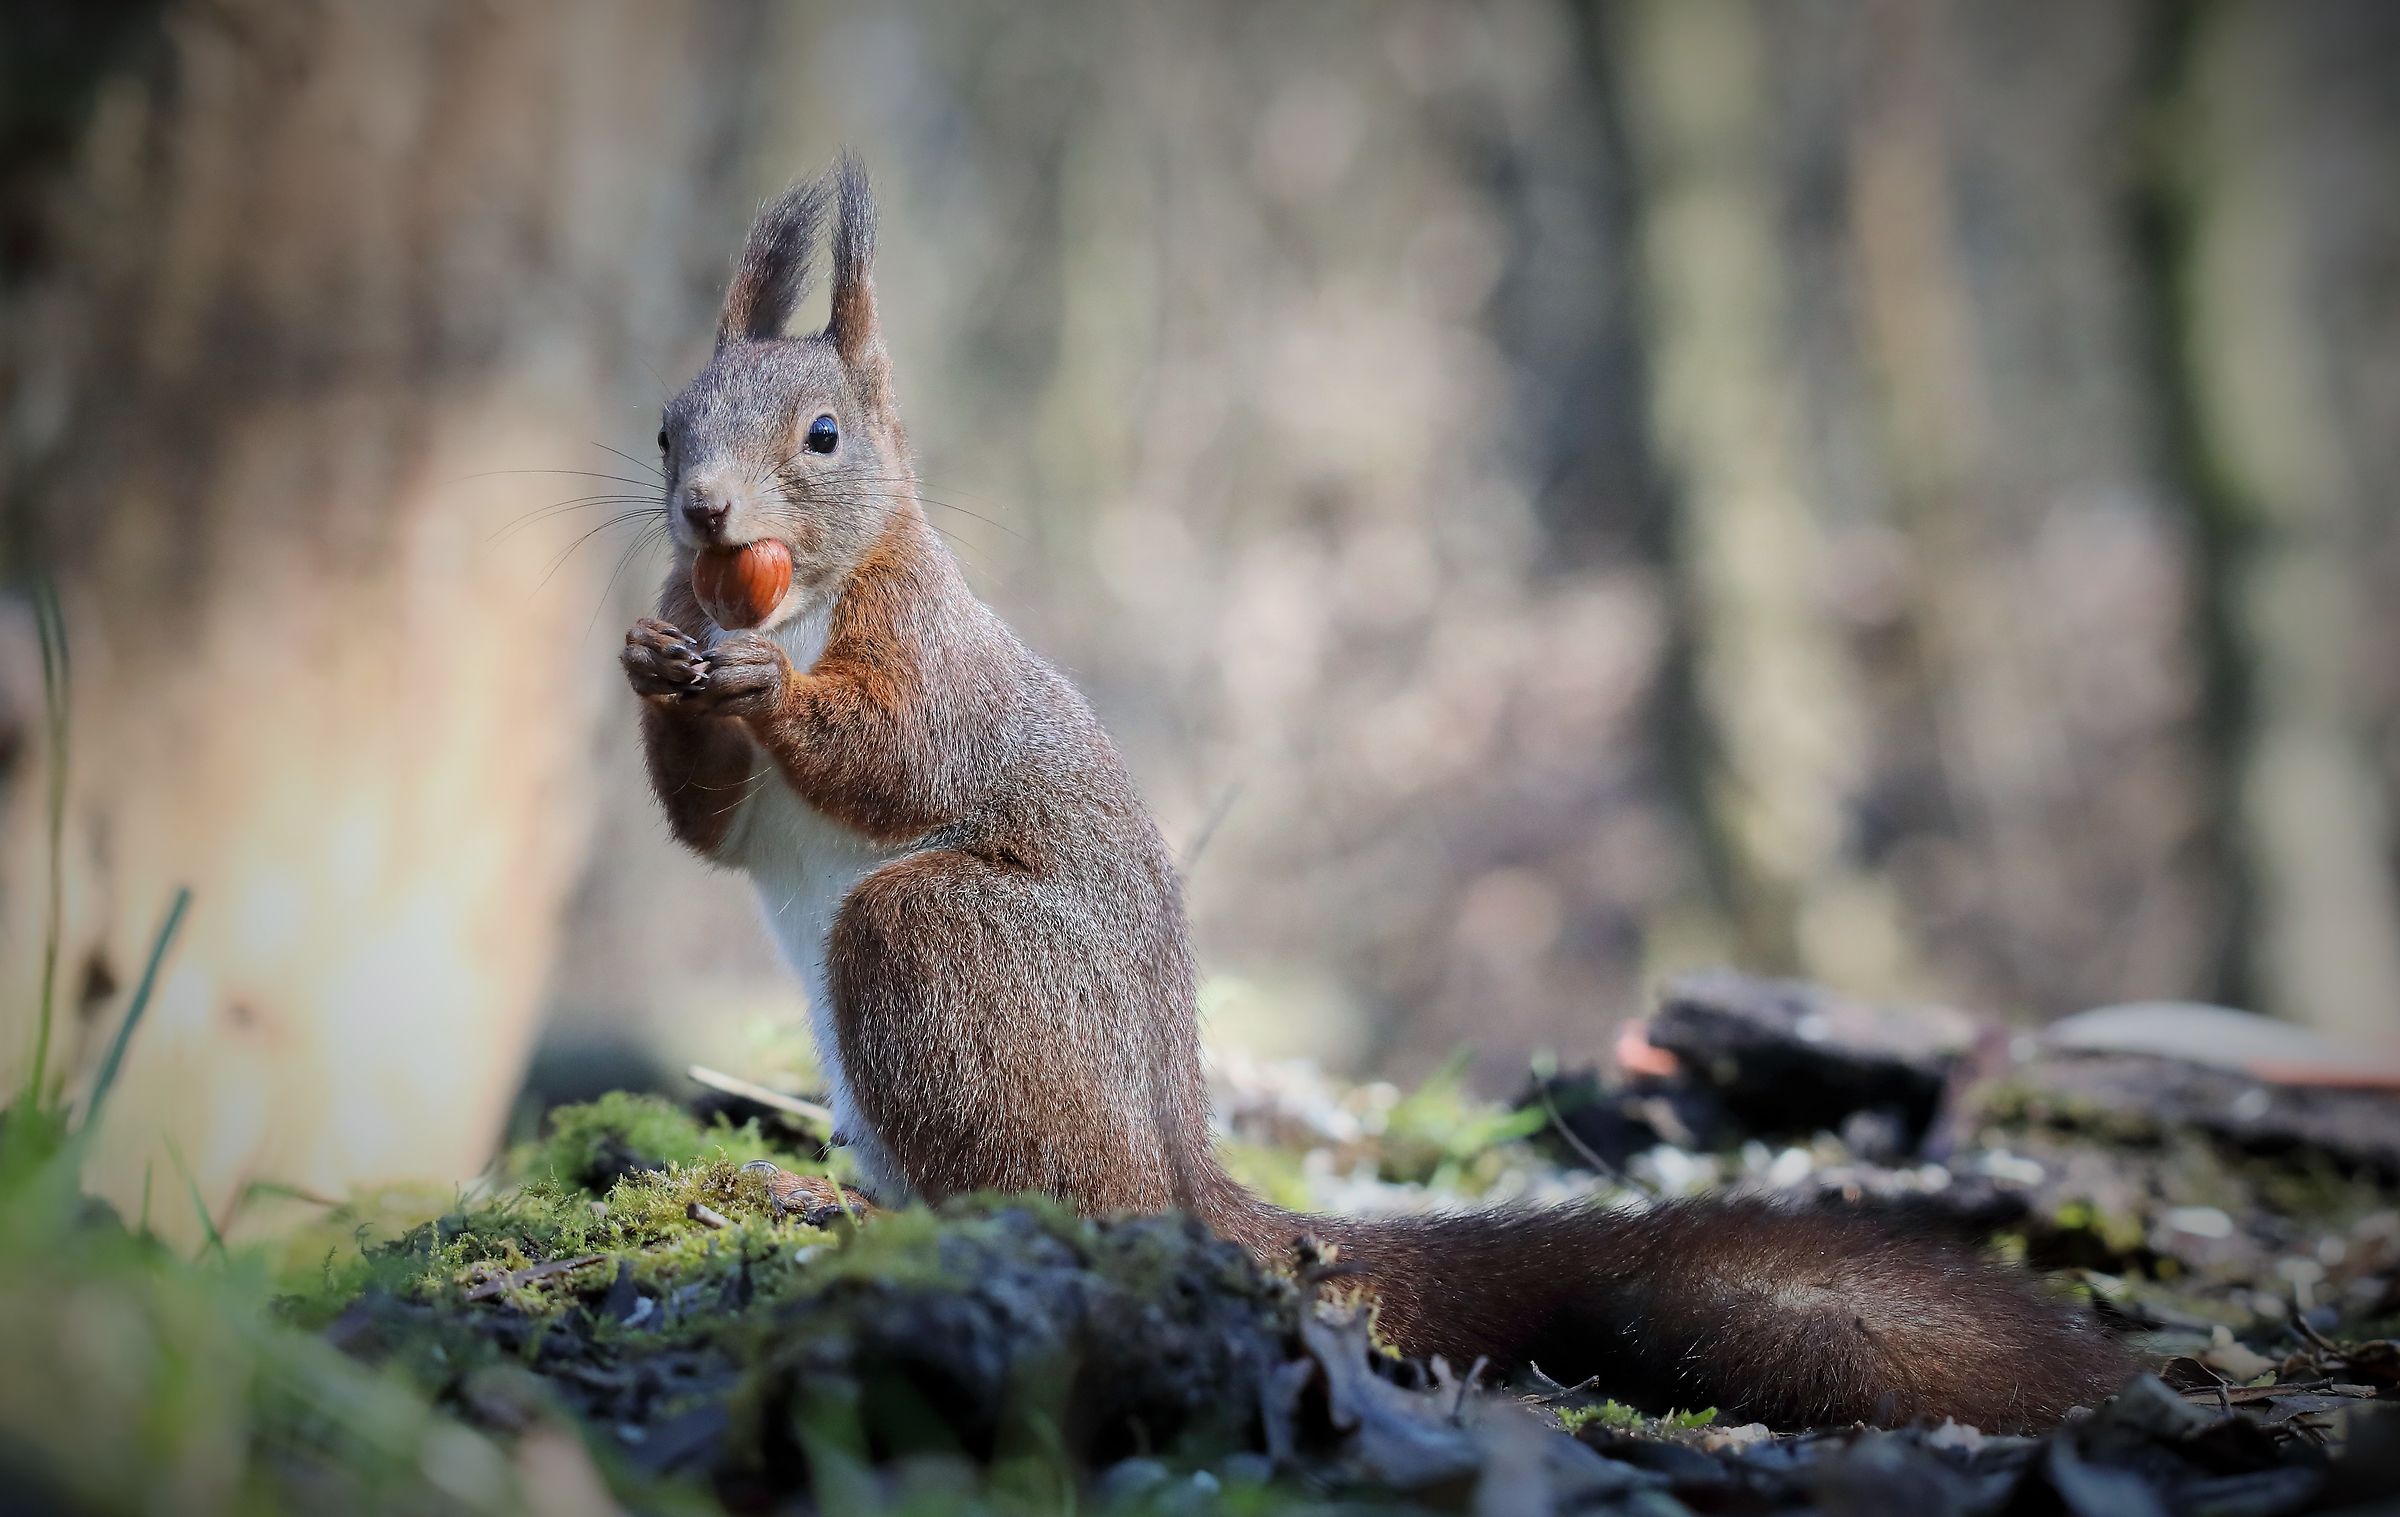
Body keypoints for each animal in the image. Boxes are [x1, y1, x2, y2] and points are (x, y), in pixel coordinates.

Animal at [620, 156, 2135, 1433]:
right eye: (665, 428)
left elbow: (901, 752)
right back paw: (809, 1192)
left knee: (1058, 1183)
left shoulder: (930, 656)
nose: (704, 513)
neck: (800, 594)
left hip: (949, 953)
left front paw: (761, 682)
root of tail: (1182, 1170)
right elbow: (709, 827)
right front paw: (651, 666)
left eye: (823, 434)